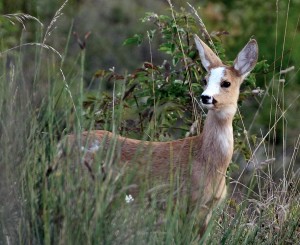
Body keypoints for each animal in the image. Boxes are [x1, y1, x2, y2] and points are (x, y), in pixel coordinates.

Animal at [51, 34, 258, 235]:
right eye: (205, 80)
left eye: (226, 83)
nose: (206, 97)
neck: (208, 159)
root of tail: (62, 144)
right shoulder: (186, 201)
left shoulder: (207, 208)